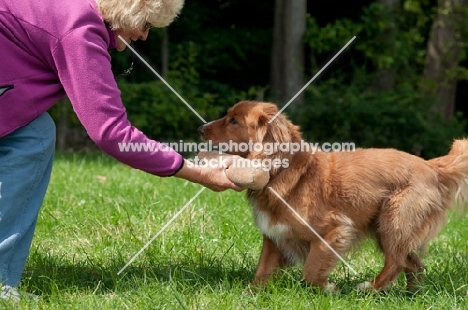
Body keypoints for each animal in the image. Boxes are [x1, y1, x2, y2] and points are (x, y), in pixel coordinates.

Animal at [197, 100, 468, 292]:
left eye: (234, 121)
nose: (200, 128)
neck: (282, 171)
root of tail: (431, 166)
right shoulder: (275, 238)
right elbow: (262, 272)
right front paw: (252, 294)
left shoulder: (334, 231)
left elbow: (310, 271)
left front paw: (327, 288)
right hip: (387, 226)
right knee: (414, 264)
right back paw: (409, 294)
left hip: (393, 220)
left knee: (398, 262)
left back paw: (371, 288)